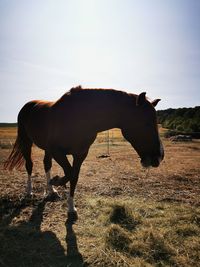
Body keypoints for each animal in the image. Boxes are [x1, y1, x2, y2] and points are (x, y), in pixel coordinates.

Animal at [4, 86, 164, 222]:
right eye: (146, 122)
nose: (159, 157)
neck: (79, 117)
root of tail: (29, 105)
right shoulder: (57, 151)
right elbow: (69, 173)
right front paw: (57, 181)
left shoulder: (80, 154)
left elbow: (74, 176)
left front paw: (70, 207)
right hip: (26, 141)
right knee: (29, 165)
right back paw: (29, 191)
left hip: (46, 149)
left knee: (46, 164)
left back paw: (51, 191)